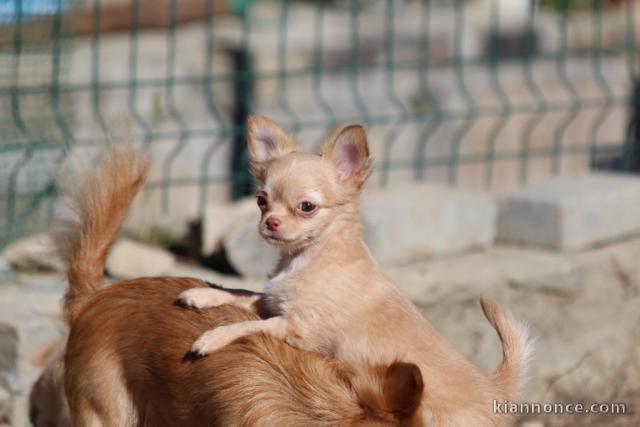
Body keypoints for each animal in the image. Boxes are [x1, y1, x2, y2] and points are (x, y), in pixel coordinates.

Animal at [180, 115, 536, 426]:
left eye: (306, 207)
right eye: (260, 200)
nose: (270, 222)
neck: (309, 257)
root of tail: (492, 388)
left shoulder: (298, 328)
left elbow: (250, 325)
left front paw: (212, 337)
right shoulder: (274, 303)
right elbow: (242, 291)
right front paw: (201, 294)